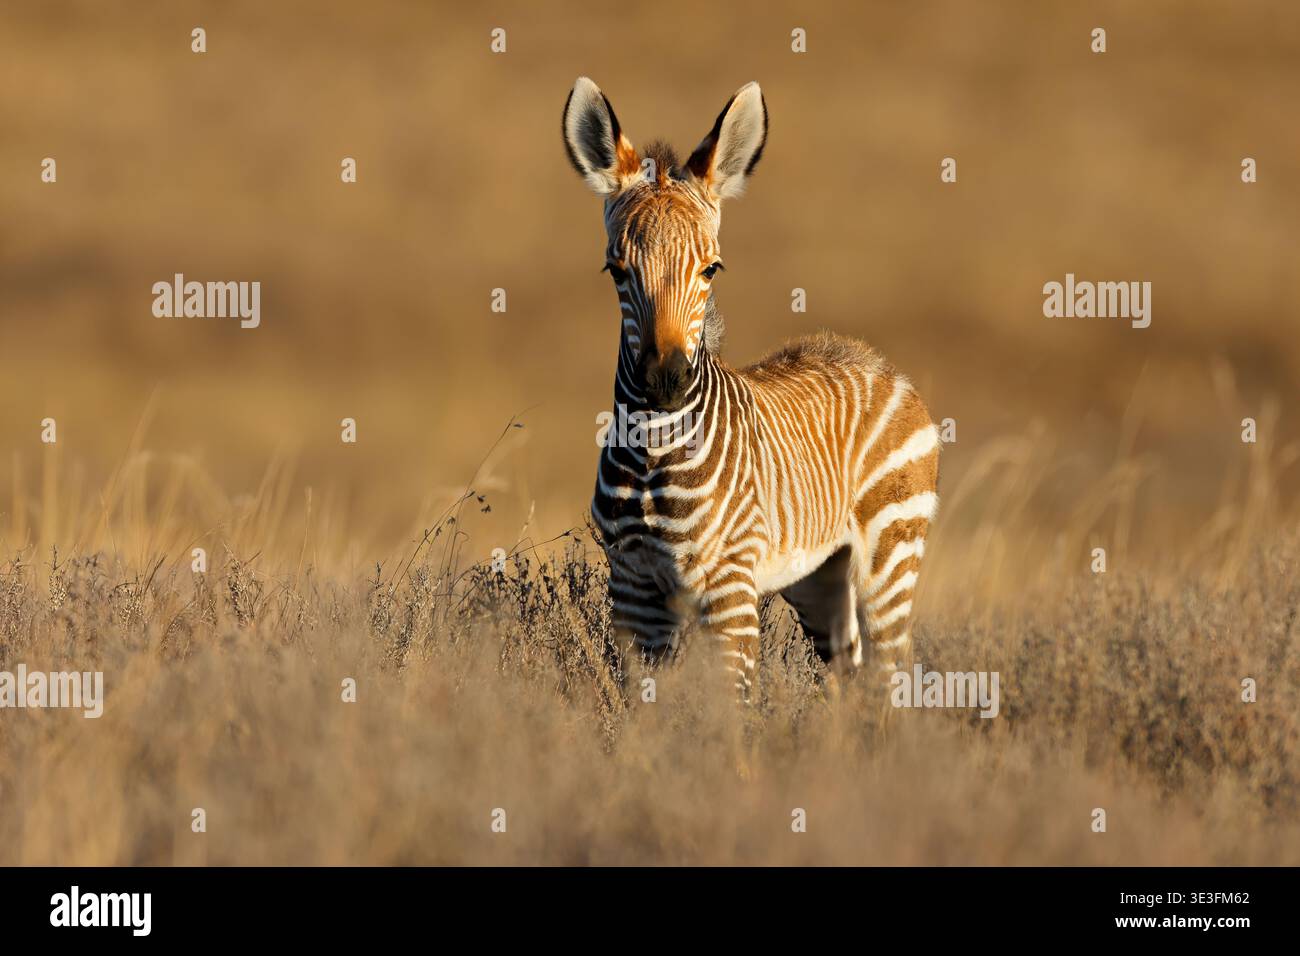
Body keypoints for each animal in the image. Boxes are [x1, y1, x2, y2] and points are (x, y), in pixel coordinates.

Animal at [563, 77, 940, 697]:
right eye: (616, 270)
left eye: (711, 269)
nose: (665, 381)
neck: (654, 455)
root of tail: (870, 357)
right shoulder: (634, 589)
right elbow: (644, 706)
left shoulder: (730, 587)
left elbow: (732, 708)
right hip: (820, 577)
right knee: (849, 673)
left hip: (890, 555)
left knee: (891, 675)